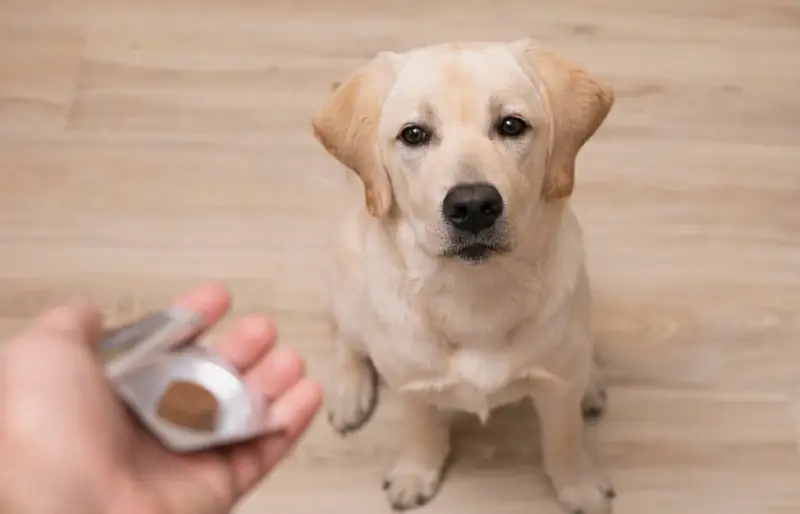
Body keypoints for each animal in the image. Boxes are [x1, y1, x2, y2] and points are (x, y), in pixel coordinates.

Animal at [310, 38, 616, 510]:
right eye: (414, 134)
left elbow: (564, 439)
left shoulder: (557, 386)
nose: (472, 206)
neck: (477, 295)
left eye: (511, 125)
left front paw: (578, 485)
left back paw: (593, 382)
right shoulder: (413, 386)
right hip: (347, 291)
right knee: (346, 338)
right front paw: (416, 472)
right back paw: (348, 391)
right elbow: (422, 431)